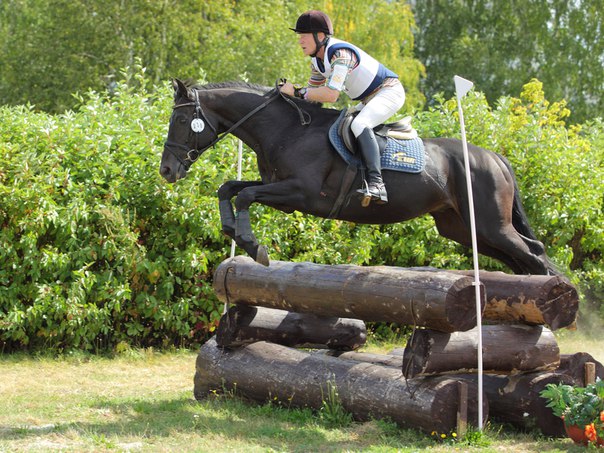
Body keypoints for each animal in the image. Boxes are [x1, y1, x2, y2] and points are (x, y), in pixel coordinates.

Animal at [160, 79, 558, 276]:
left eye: (180, 120)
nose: (166, 170)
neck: (286, 130)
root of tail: (496, 157)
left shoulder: (300, 194)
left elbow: (243, 196)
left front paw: (252, 245)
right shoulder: (278, 190)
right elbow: (228, 188)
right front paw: (234, 232)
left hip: (492, 225)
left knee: (535, 254)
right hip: (461, 228)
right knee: (521, 259)